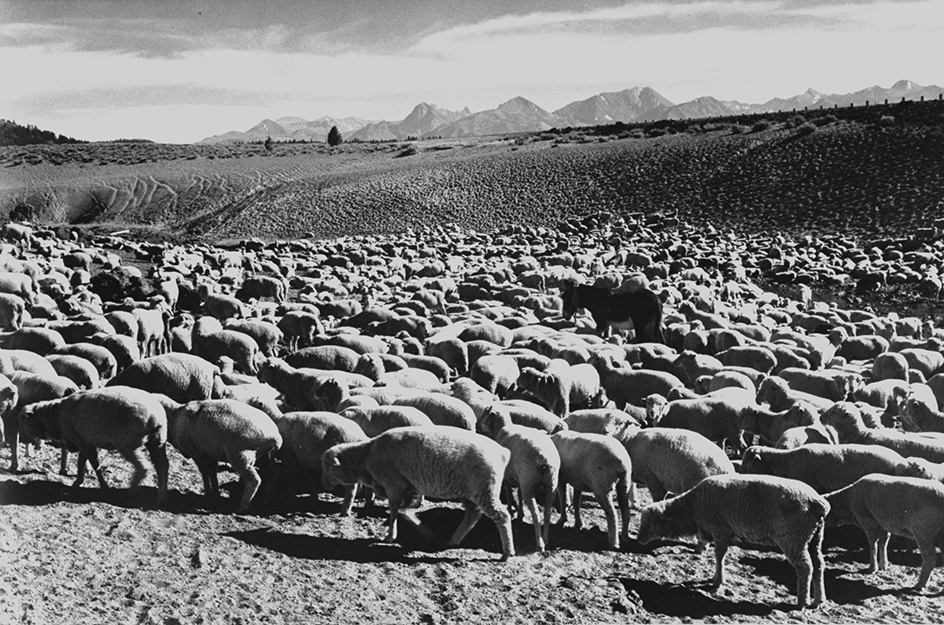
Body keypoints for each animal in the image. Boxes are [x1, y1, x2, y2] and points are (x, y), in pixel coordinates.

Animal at [18, 382, 170, 504]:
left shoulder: (80, 440)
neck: (55, 416)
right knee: (162, 466)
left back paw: (130, 492)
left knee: (143, 467)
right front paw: (78, 482)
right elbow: (82, 461)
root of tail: (154, 417)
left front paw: (104, 488)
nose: (24, 440)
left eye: (23, 423)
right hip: (157, 441)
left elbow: (94, 463)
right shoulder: (83, 440)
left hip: (127, 444)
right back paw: (161, 497)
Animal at [322, 426, 516, 560]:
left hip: (485, 489)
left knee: (502, 516)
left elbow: (394, 511)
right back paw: (453, 540)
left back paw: (507, 553)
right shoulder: (409, 487)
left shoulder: (394, 486)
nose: (324, 485)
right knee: (472, 514)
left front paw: (390, 536)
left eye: (328, 467)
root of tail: (503, 451)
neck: (367, 456)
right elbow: (404, 510)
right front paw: (424, 529)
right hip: (471, 491)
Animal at [636, 472, 824, 608]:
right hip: (813, 538)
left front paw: (717, 581)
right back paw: (818, 601)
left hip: (793, 538)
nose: (639, 540)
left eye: (652, 522)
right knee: (818, 564)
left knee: (805, 567)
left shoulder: (721, 529)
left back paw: (801, 603)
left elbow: (719, 555)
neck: (692, 508)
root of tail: (818, 502)